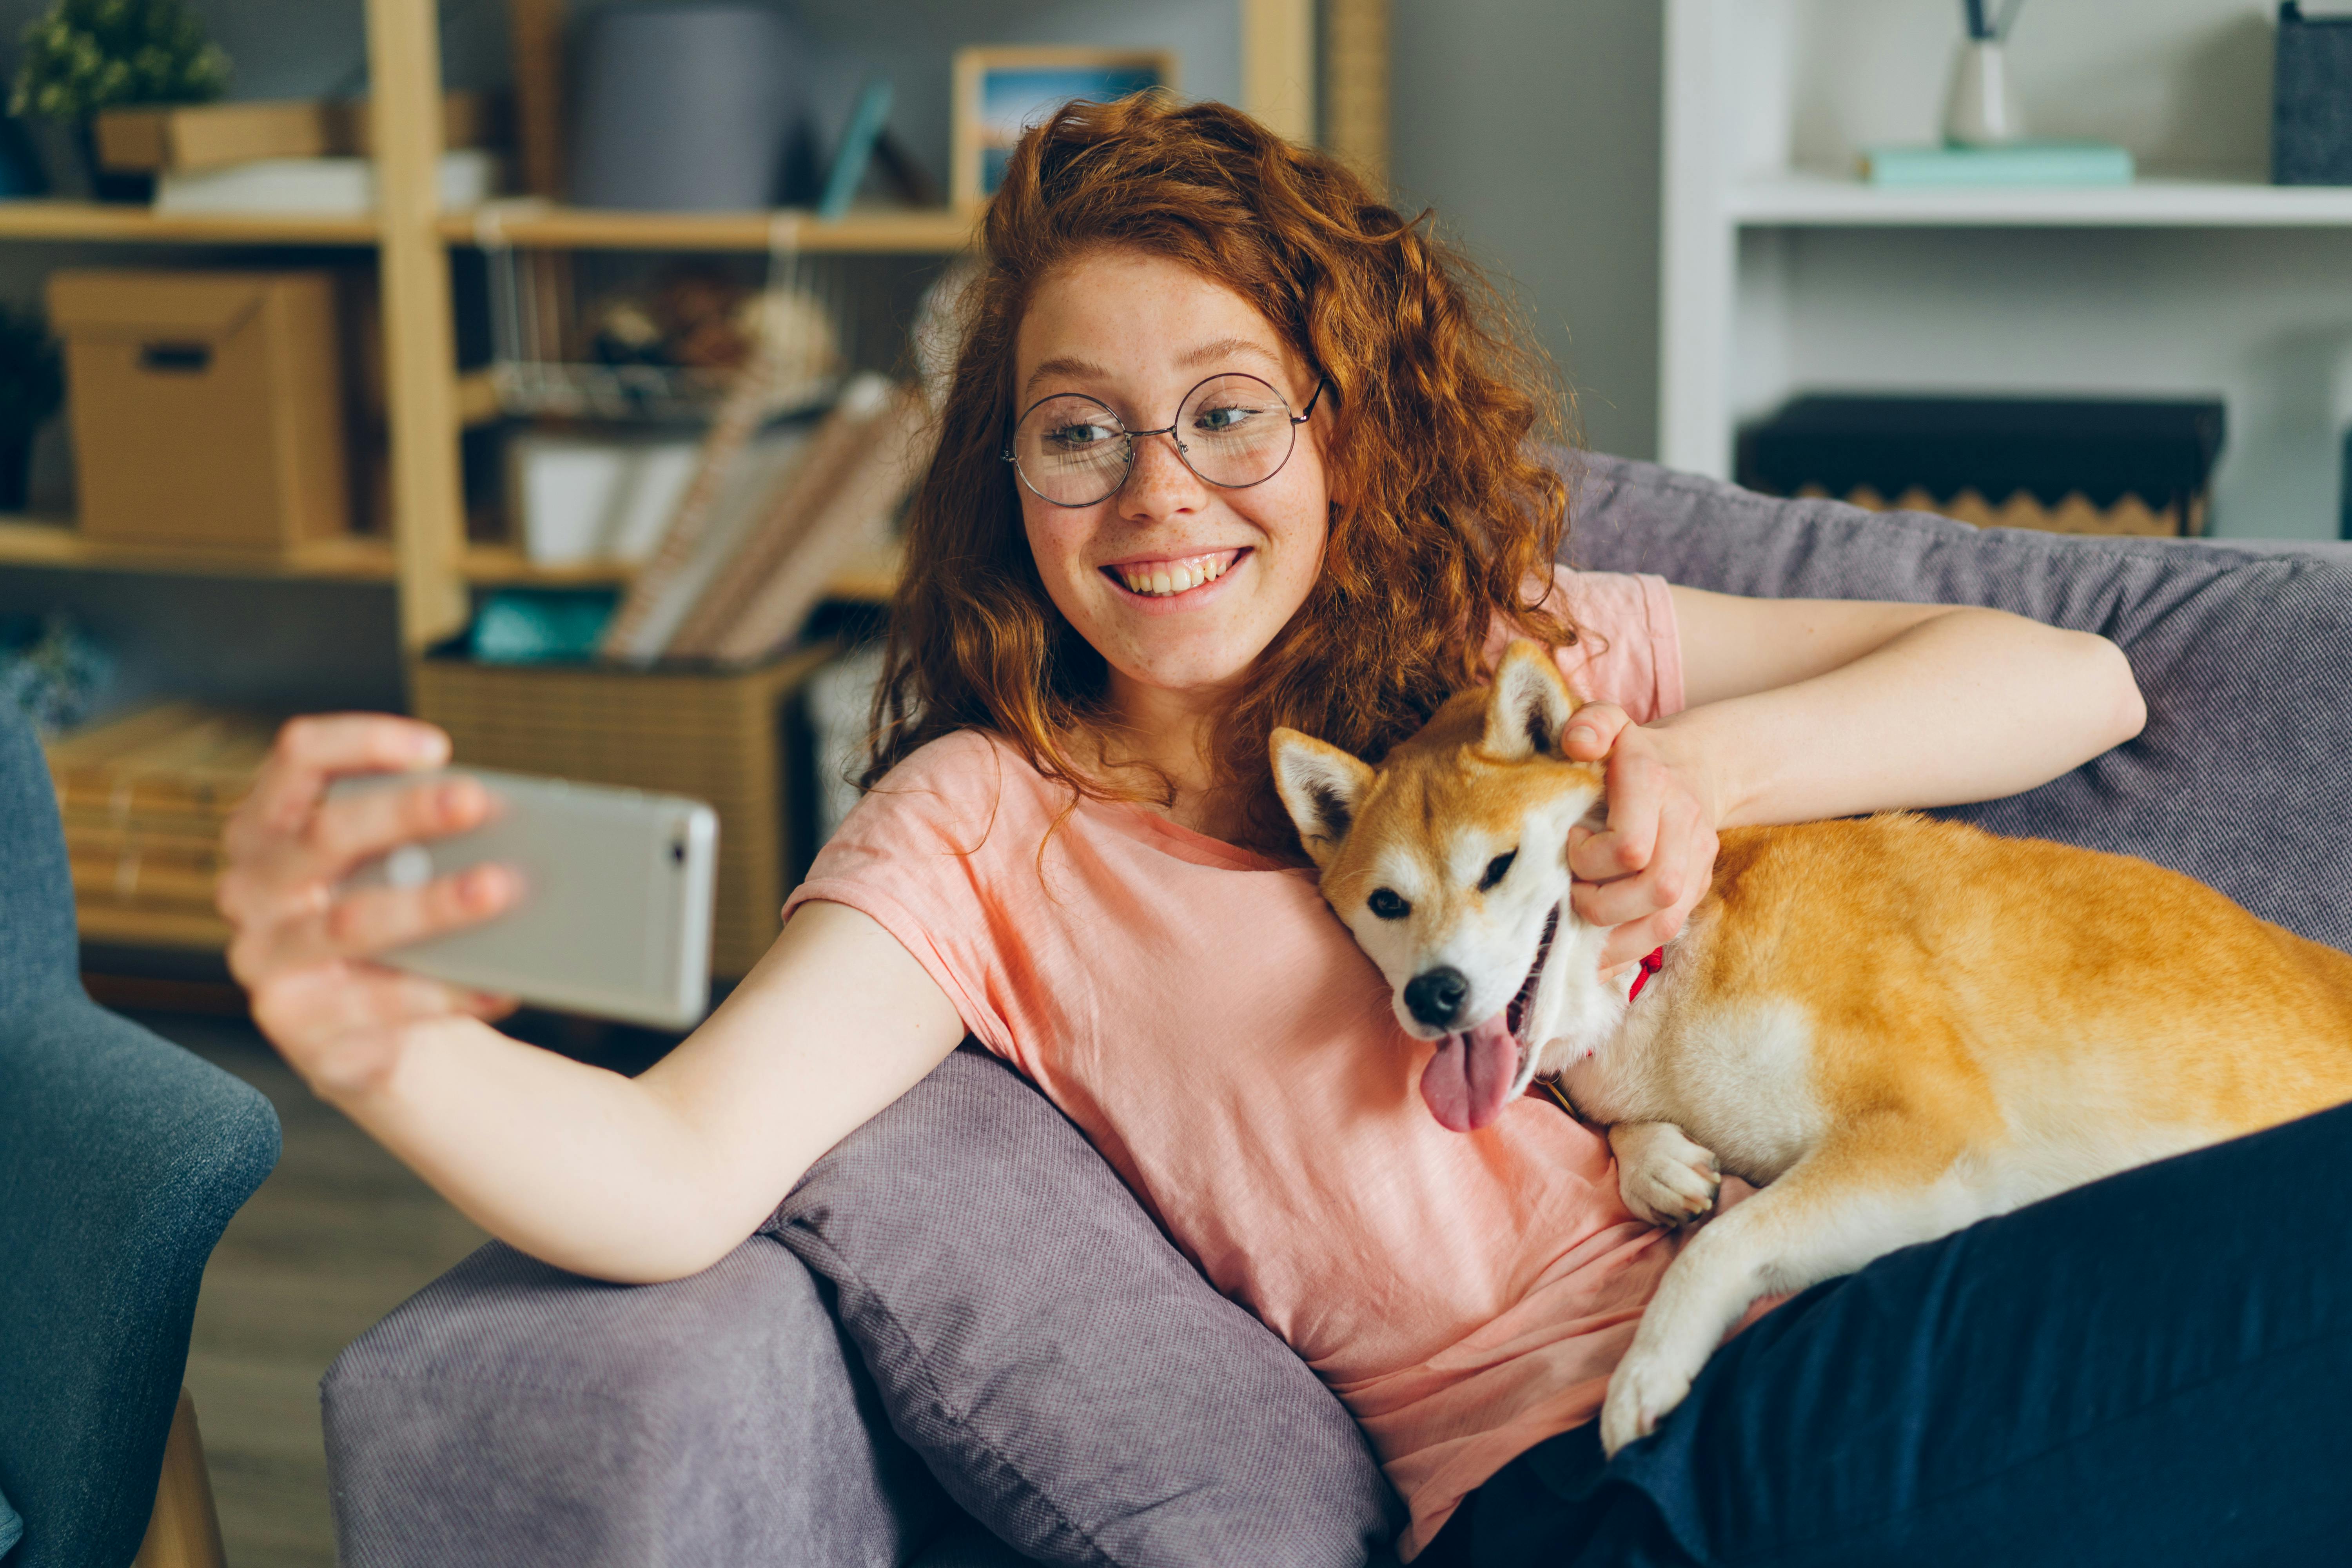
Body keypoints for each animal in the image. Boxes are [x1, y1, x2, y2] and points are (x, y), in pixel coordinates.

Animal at [1279, 635, 2352, 1457]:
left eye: (1498, 866)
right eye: (1387, 903)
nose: (1434, 994)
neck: (1661, 981)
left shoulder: (1929, 1132)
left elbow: (1724, 1242)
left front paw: (1648, 1367)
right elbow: (1666, 1166)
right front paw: (1655, 1162)